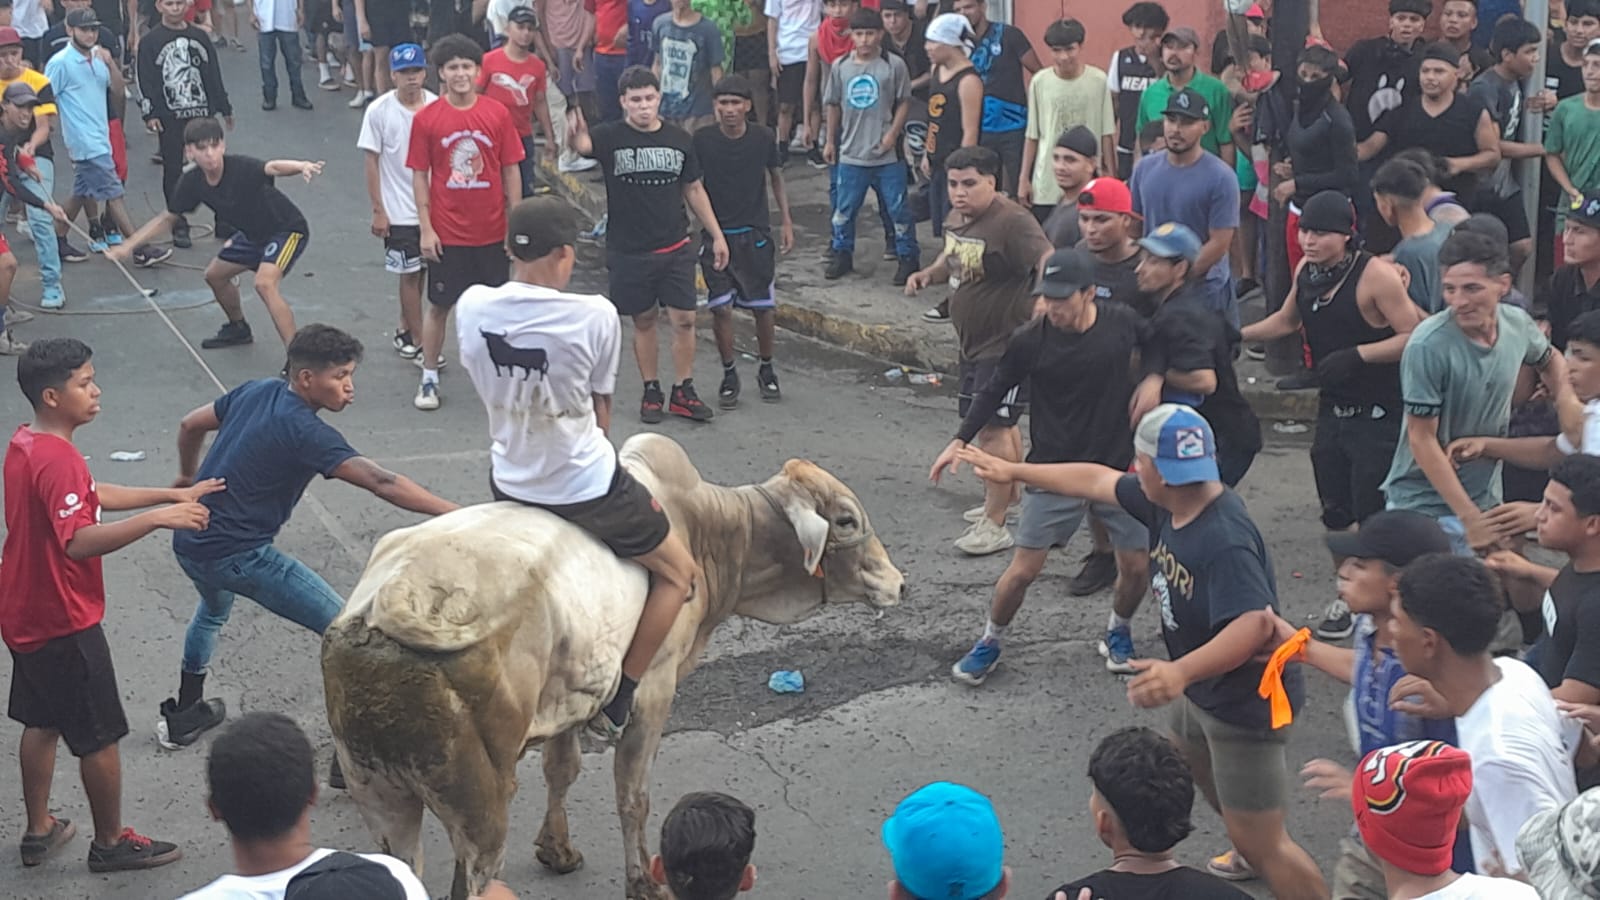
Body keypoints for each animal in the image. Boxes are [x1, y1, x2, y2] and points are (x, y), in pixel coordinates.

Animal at [318, 432, 908, 890]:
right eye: (847, 520)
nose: (899, 583)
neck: (707, 532)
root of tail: (391, 598)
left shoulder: (570, 696)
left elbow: (562, 770)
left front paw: (557, 851)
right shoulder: (654, 690)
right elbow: (632, 795)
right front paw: (642, 881)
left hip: (382, 793)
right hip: (479, 807)